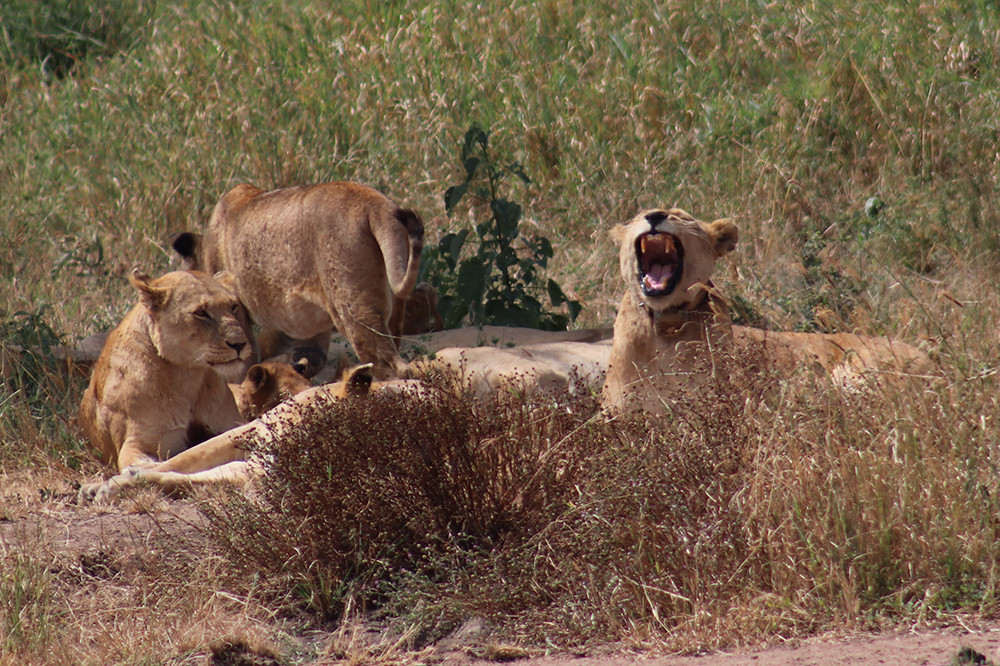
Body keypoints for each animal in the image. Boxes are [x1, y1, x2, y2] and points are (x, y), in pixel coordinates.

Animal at [77, 269, 253, 472]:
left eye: (233, 307)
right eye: (201, 312)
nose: (240, 344)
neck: (187, 375)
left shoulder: (231, 423)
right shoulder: (135, 441)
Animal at [172, 181, 424, 380]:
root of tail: (375, 204)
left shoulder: (233, 297)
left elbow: (247, 353)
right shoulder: (302, 321)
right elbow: (312, 355)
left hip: (353, 306)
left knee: (389, 363)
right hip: (392, 303)